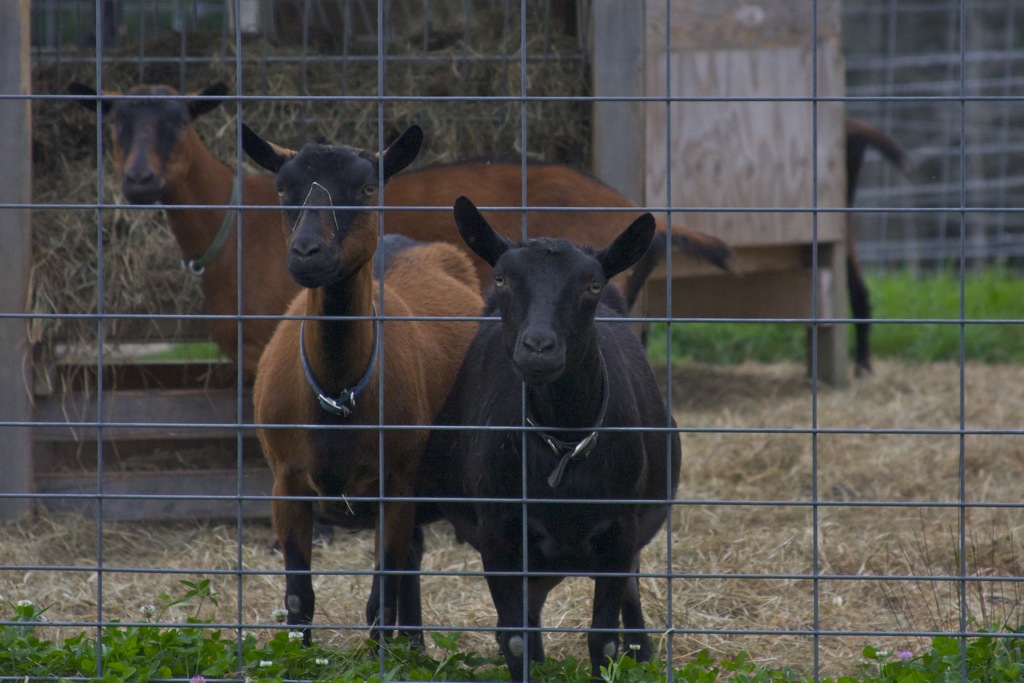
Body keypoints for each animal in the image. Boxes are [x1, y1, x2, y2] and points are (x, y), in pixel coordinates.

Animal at [242, 123, 483, 646]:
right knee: (412, 555)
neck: (338, 391)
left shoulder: (396, 485)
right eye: (282, 190)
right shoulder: (286, 484)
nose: (307, 253)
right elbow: (299, 598)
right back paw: (415, 645)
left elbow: (379, 600)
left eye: (368, 189)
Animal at [420, 196, 682, 681]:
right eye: (502, 278)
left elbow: (604, 639)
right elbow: (515, 638)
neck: (563, 441)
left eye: (592, 284)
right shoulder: (500, 532)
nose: (538, 347)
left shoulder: (619, 529)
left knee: (630, 592)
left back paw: (642, 652)